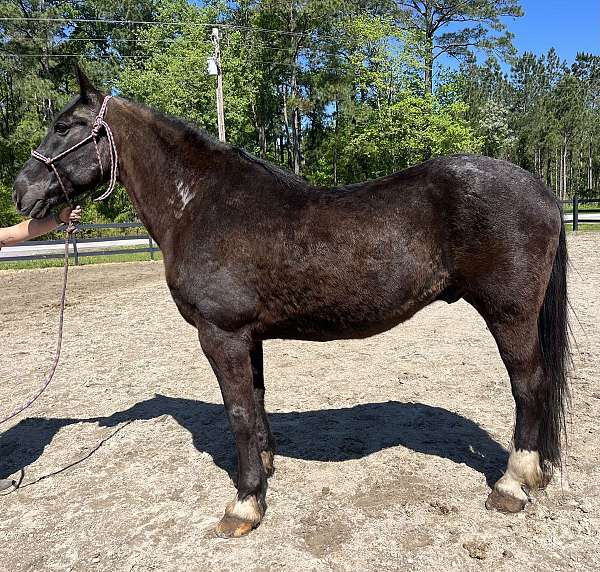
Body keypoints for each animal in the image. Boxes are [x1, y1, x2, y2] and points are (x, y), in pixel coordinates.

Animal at [11, 69, 568, 540]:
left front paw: (244, 506)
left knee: (529, 385)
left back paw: (513, 483)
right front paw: (263, 472)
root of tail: (540, 188)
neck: (200, 204)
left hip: (509, 314)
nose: (21, 191)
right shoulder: (248, 336)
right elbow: (256, 404)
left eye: (65, 126)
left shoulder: (221, 334)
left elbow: (237, 411)